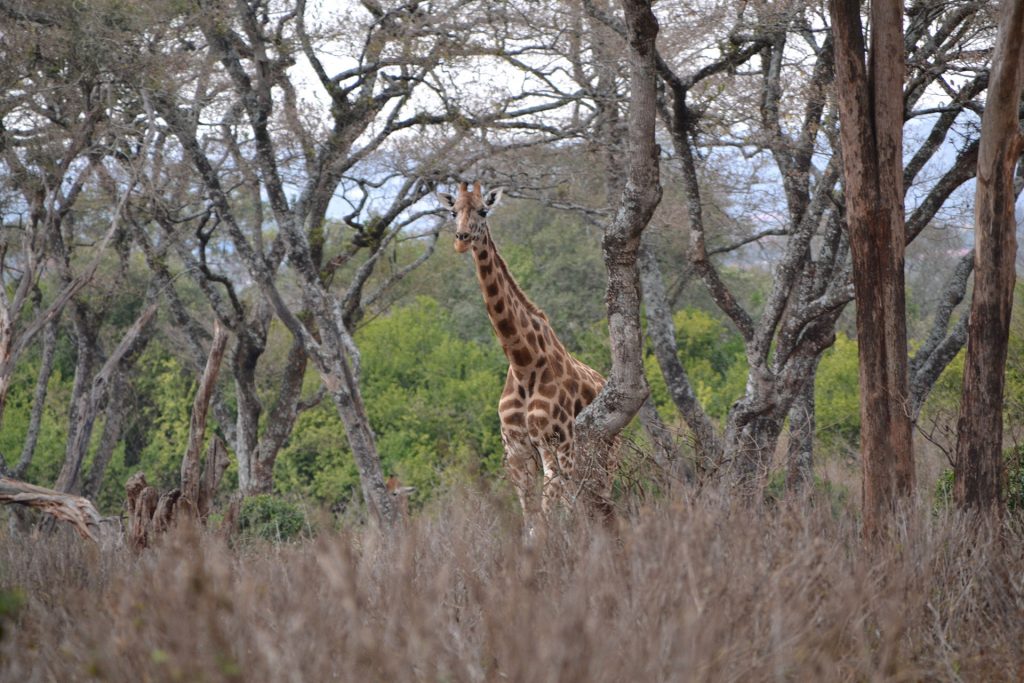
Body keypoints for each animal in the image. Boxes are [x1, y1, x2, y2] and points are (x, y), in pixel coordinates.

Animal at [438, 181, 610, 532]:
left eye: (483, 211)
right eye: (453, 211)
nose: (462, 239)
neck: (523, 362)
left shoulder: (554, 443)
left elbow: (550, 518)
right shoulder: (516, 450)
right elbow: (531, 523)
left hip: (603, 448)